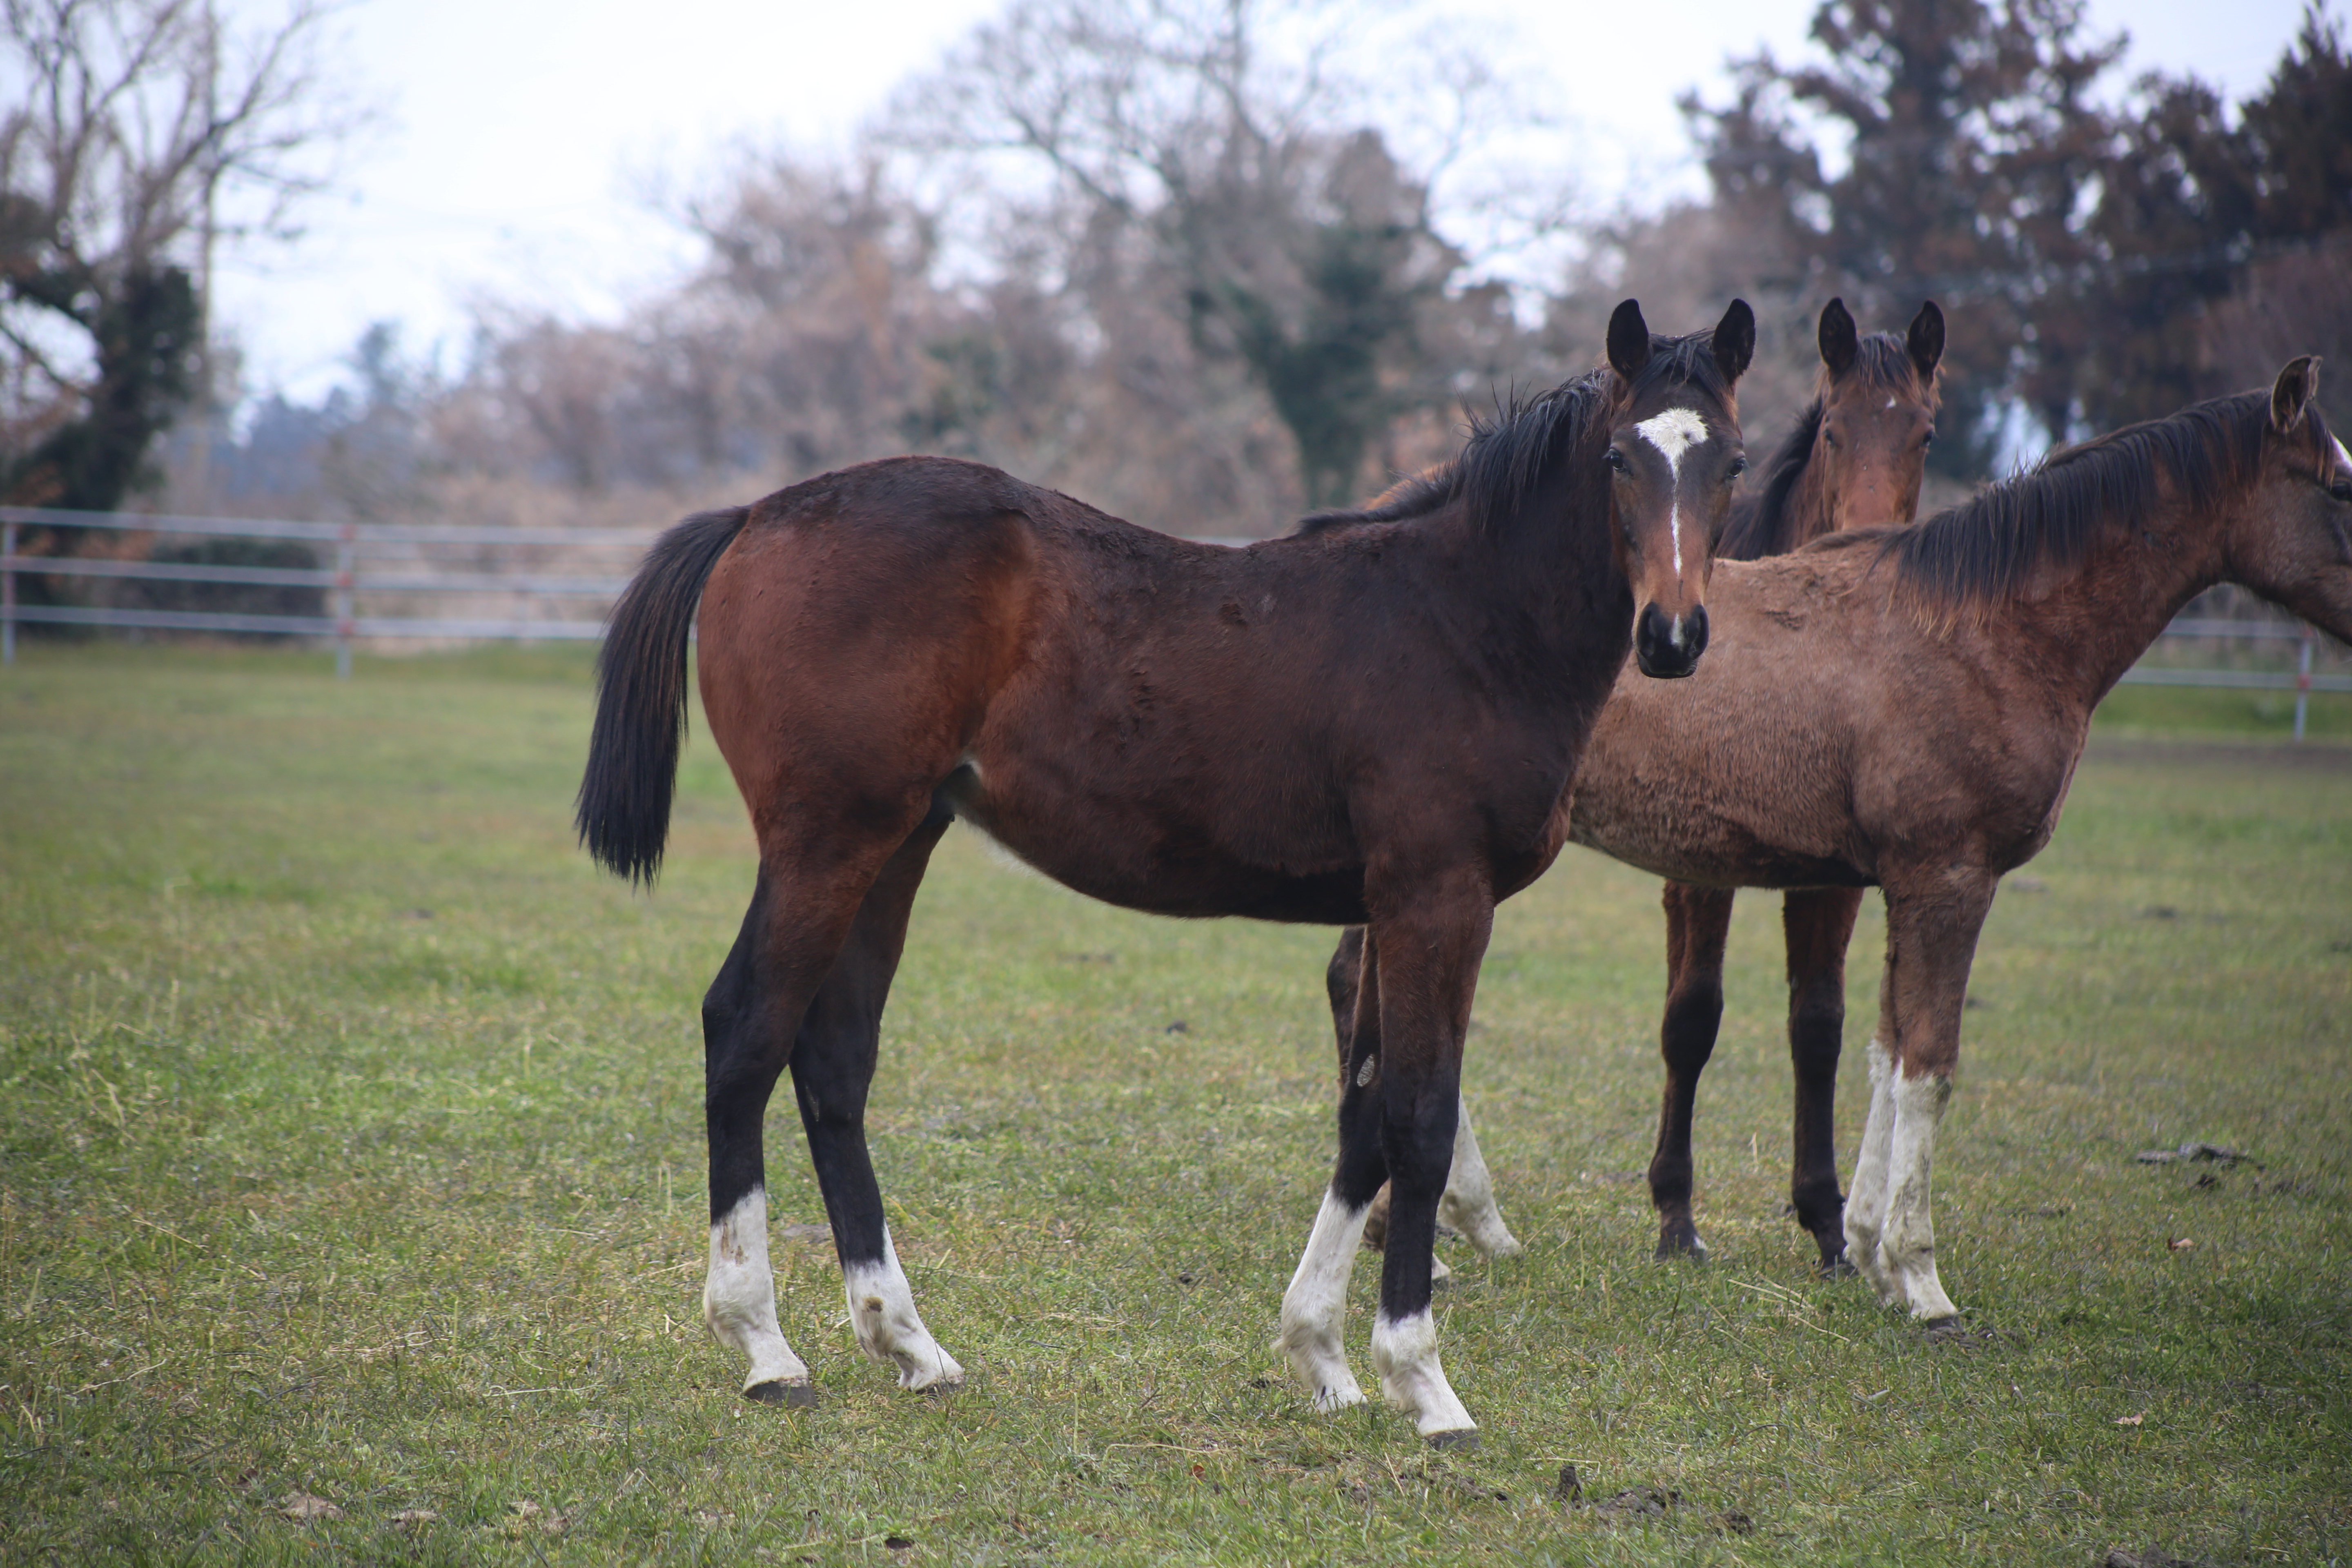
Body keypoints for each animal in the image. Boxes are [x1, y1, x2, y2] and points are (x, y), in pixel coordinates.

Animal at [578, 297, 1759, 1448]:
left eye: (1733, 461)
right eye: (1618, 457)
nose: (1673, 637)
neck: (1462, 623)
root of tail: (755, 515)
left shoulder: (1389, 909)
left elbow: (1363, 1122)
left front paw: (1322, 1359)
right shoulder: (1439, 900)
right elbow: (1419, 1125)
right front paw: (1424, 1386)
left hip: (896, 844)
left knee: (833, 1061)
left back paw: (908, 1343)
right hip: (825, 842)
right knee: (744, 1033)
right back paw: (766, 1348)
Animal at [1430, 355, 2352, 1326]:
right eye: (2338, 487)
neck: (1985, 632)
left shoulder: (1893, 884)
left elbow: (1880, 1052)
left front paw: (1867, 1250)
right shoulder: (1950, 879)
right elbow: (1929, 1066)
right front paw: (1922, 1279)